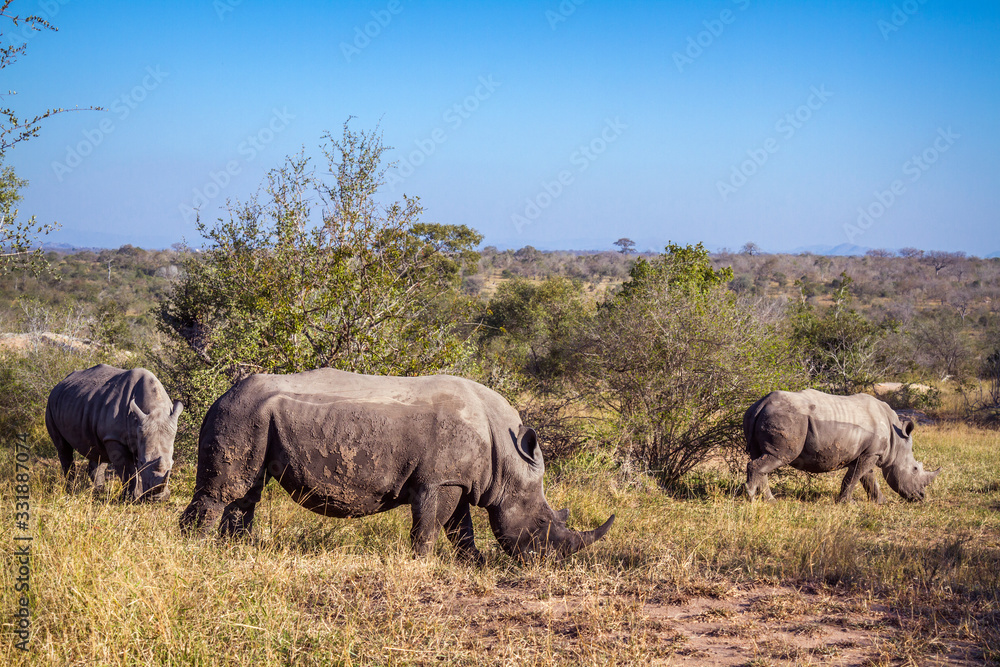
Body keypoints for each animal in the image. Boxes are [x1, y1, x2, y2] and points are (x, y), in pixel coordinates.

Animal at [46, 364, 183, 502]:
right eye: (141, 462)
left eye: (172, 463)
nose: (158, 499)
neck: (155, 408)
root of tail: (60, 383)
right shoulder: (115, 437)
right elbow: (128, 470)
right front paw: (131, 499)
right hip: (50, 404)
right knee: (63, 448)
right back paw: (71, 490)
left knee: (98, 451)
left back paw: (99, 491)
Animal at [179, 369, 614, 563]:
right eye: (541, 523)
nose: (550, 564)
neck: (507, 457)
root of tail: (220, 396)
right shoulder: (439, 481)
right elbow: (430, 526)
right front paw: (421, 563)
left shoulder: (456, 481)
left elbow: (460, 528)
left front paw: (473, 563)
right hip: (240, 415)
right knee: (225, 491)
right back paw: (196, 551)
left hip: (251, 417)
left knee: (245, 493)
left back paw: (235, 551)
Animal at [744, 388, 940, 503]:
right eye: (915, 469)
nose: (921, 497)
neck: (897, 442)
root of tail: (762, 403)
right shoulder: (871, 453)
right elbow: (854, 477)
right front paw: (847, 503)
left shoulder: (868, 452)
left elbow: (867, 478)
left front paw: (880, 502)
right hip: (787, 418)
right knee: (778, 457)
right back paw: (756, 498)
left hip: (755, 414)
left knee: (760, 456)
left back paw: (766, 500)